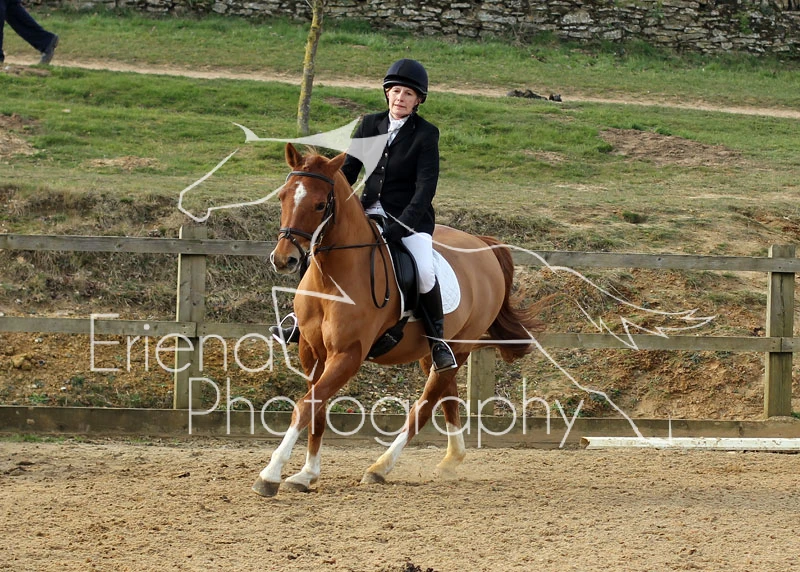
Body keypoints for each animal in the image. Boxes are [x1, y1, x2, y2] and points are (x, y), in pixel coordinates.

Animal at [252, 143, 545, 497]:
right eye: (282, 196)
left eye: (320, 204)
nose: (284, 260)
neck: (331, 279)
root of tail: (484, 246)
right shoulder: (310, 351)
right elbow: (316, 408)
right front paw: (307, 473)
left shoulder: (347, 355)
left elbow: (306, 405)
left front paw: (270, 475)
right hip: (432, 352)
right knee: (447, 393)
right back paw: (451, 460)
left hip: (461, 346)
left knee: (425, 405)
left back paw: (380, 468)